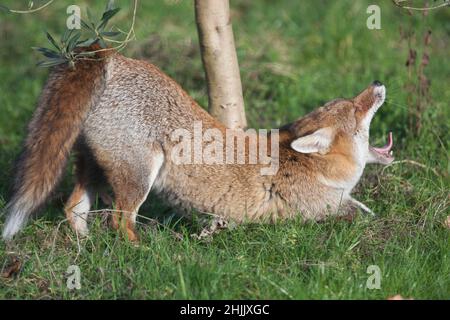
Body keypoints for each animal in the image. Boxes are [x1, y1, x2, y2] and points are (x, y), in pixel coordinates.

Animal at [0, 46, 394, 241]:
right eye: (358, 108)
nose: (378, 82)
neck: (314, 169)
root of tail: (116, 57)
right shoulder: (317, 211)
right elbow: (362, 214)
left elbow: (365, 209)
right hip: (138, 177)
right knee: (119, 222)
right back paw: (142, 250)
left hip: (95, 169)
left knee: (74, 209)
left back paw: (86, 248)